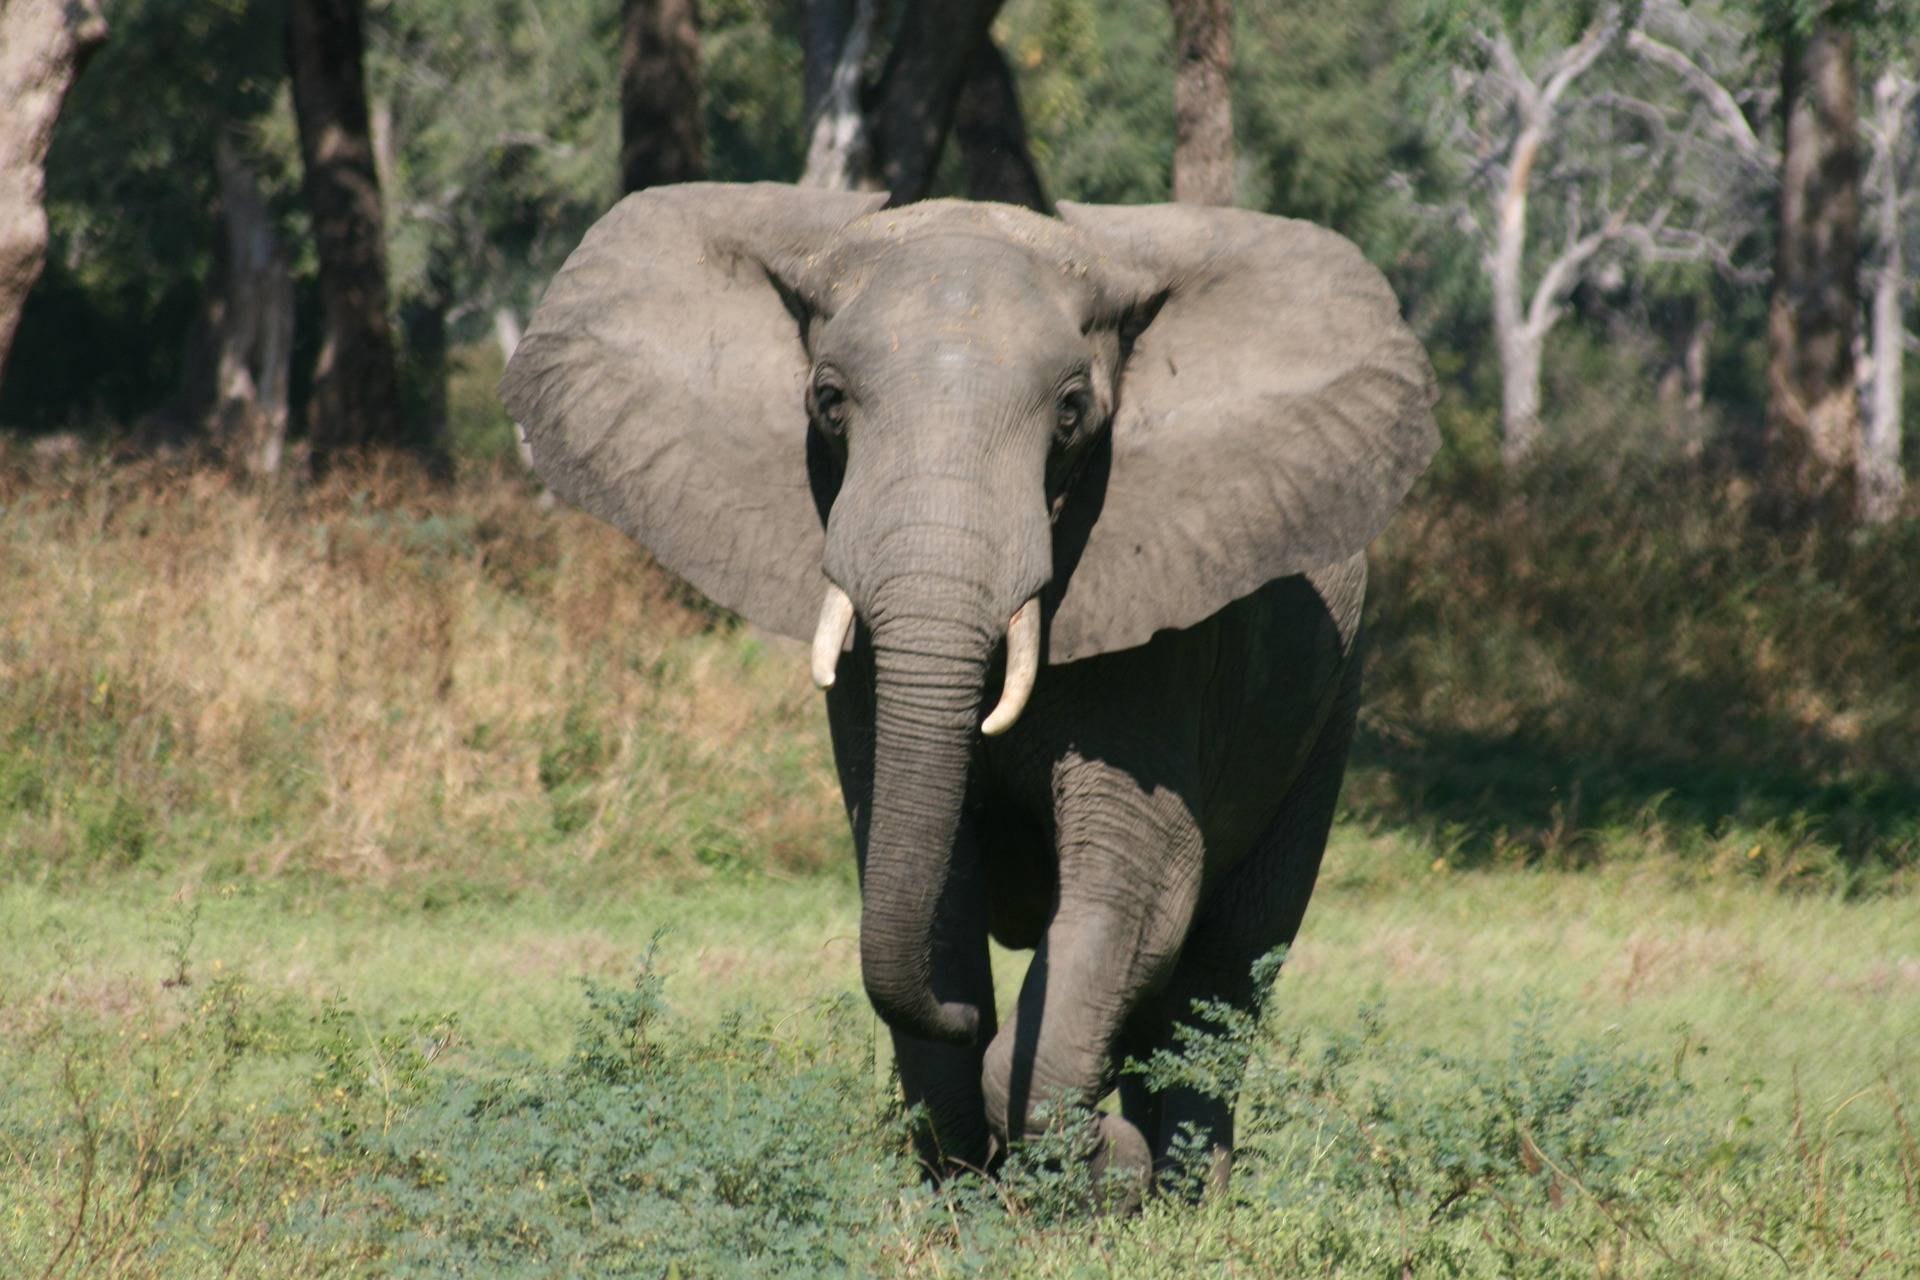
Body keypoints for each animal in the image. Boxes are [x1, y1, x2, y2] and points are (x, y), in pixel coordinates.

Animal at [503, 182, 1436, 1205]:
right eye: (828, 403)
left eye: (1071, 414)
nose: (957, 1014)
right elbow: (927, 876)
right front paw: (971, 1185)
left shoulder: (1168, 642)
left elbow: (1139, 885)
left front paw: (1094, 1160)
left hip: (1333, 701)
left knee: (1228, 962)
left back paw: (1192, 1193)